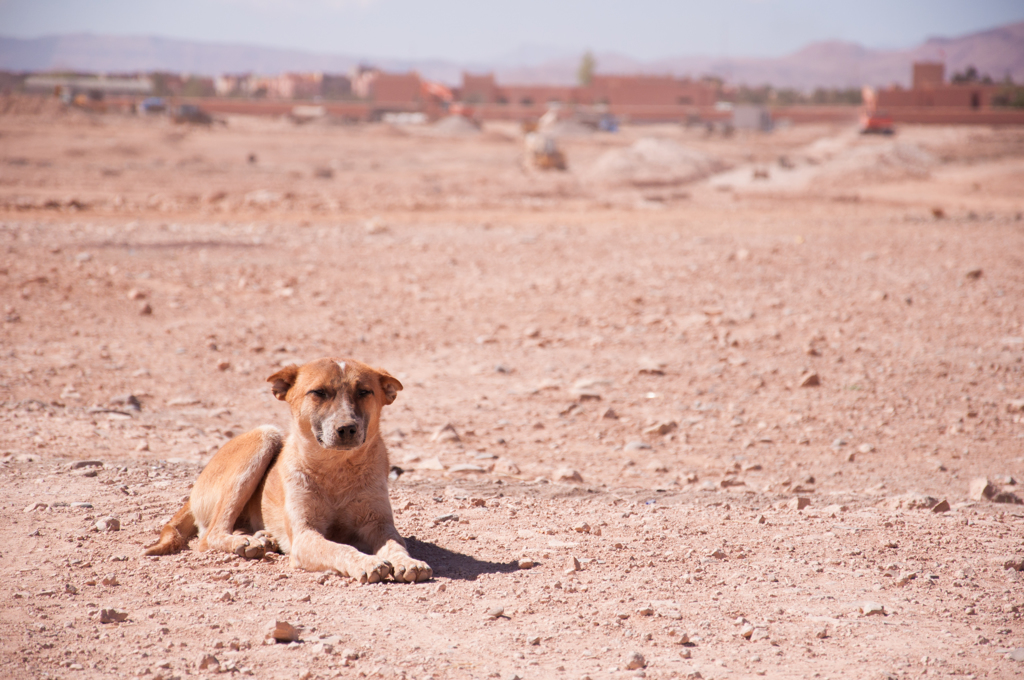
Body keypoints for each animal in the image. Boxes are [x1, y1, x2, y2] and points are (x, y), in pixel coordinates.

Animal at [144, 356, 432, 585]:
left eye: (364, 391)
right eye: (319, 392)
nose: (347, 428)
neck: (337, 469)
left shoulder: (379, 524)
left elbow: (396, 544)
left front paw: (408, 562)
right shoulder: (305, 535)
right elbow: (340, 549)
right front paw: (366, 562)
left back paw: (262, 538)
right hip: (264, 436)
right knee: (210, 535)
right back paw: (246, 543)